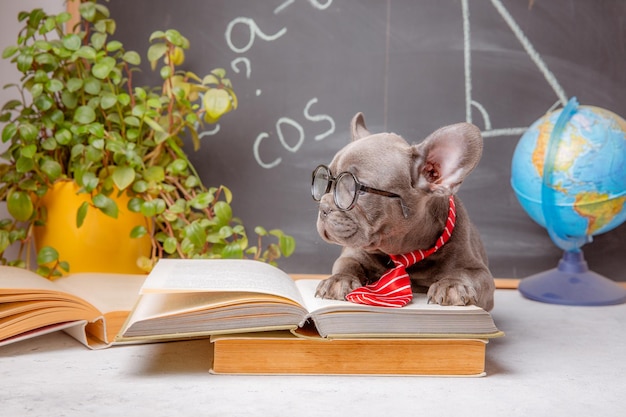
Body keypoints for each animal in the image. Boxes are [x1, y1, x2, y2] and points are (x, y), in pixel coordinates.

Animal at [314, 110, 494, 308]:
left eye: (357, 189)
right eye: (325, 182)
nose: (323, 207)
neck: (403, 254)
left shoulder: (481, 273)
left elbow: (467, 274)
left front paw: (452, 285)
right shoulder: (353, 253)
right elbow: (346, 263)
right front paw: (339, 279)